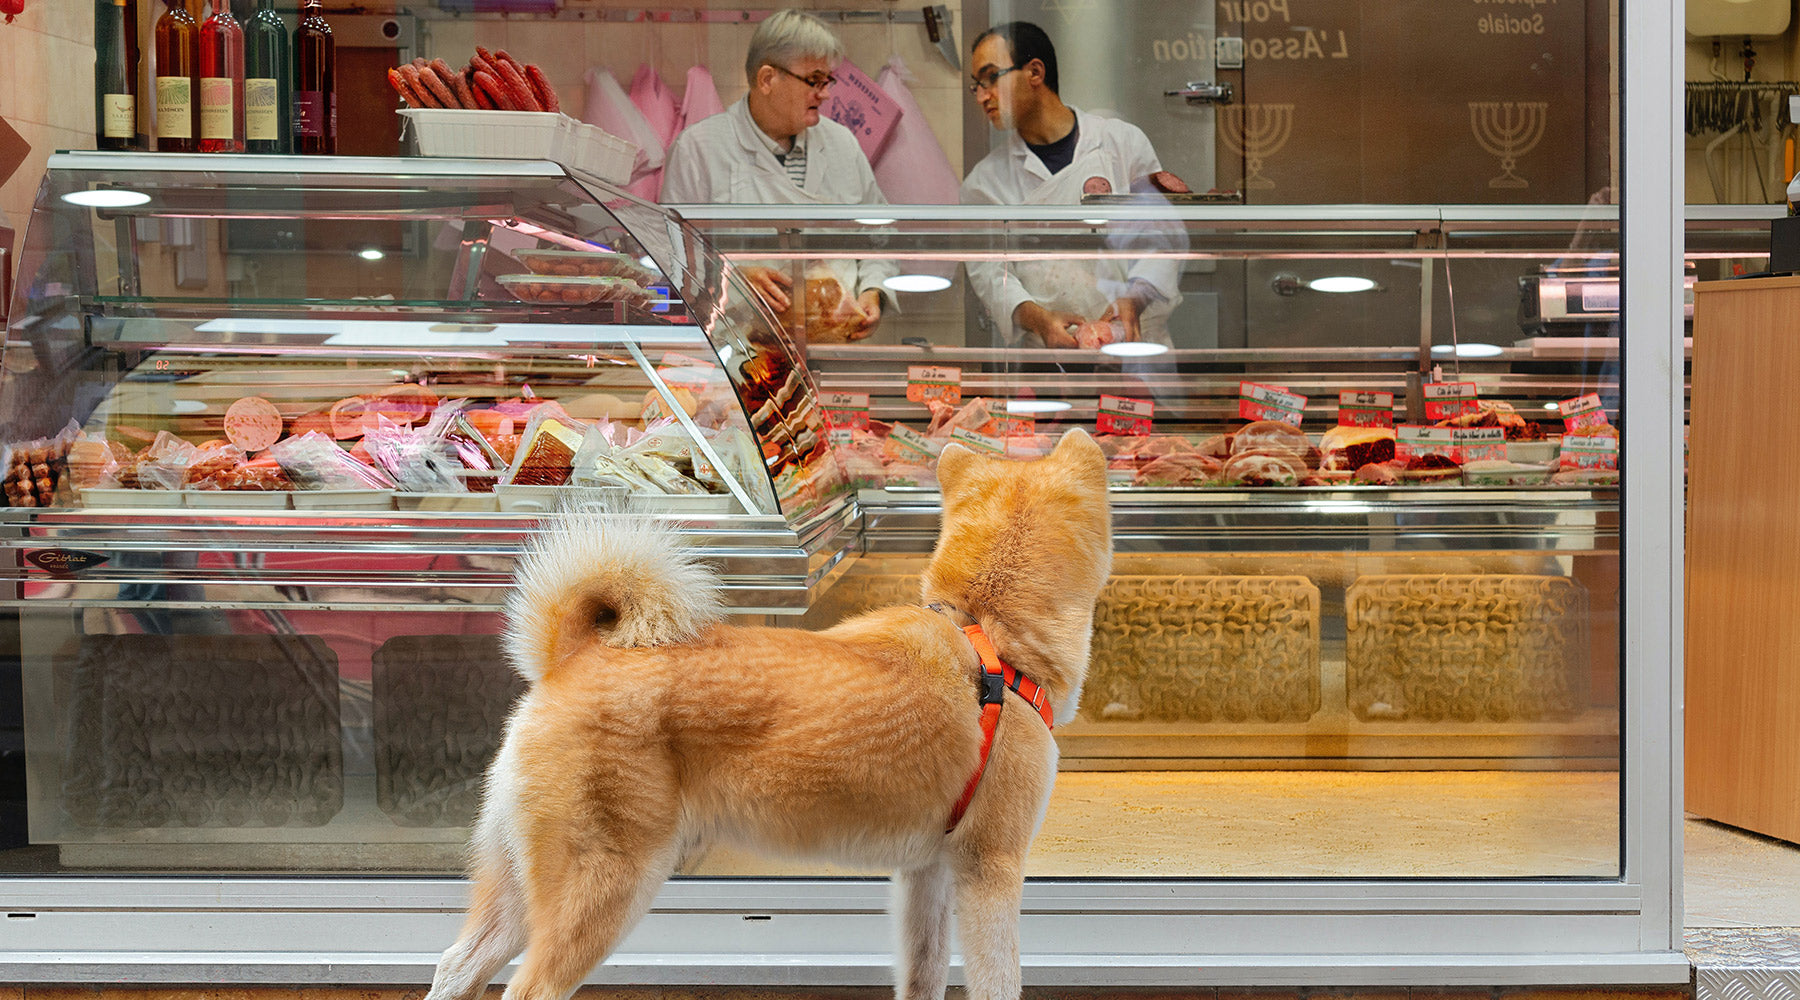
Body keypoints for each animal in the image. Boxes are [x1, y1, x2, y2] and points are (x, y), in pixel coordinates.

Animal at [428, 429, 1116, 1000]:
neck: (989, 634)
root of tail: (570, 655)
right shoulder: (989, 873)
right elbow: (1000, 981)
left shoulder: (926, 877)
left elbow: (922, 978)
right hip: (604, 888)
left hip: (519, 892)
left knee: (455, 966)